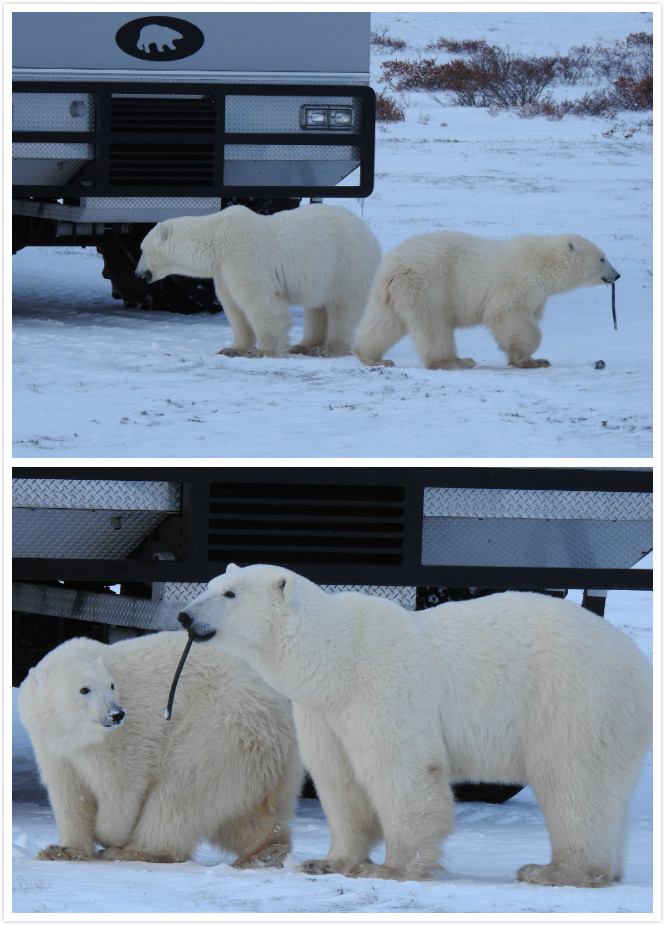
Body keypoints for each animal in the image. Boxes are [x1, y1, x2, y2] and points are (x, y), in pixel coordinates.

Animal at [17, 632, 304, 864]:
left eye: (111, 685)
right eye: (84, 689)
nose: (116, 714)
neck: (76, 735)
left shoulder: (126, 735)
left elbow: (122, 785)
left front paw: (108, 836)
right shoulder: (50, 743)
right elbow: (67, 791)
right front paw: (62, 850)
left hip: (223, 724)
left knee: (181, 789)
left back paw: (133, 851)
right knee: (248, 816)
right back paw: (265, 849)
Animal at [136, 203, 378, 358]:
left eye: (142, 249)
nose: (138, 273)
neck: (216, 238)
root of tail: (371, 235)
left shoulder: (243, 255)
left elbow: (259, 300)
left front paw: (264, 351)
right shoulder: (223, 272)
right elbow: (234, 307)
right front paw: (232, 349)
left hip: (348, 263)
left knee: (343, 308)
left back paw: (328, 348)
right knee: (316, 308)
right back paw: (304, 346)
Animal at [179, 564, 652, 888]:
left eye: (229, 593)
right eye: (208, 586)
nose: (184, 617)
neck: (337, 656)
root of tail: (638, 662)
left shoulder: (383, 687)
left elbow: (399, 771)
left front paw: (389, 868)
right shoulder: (322, 711)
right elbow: (339, 780)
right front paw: (326, 862)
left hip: (575, 699)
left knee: (572, 780)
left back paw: (554, 870)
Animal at [352, 229, 616, 370]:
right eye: (602, 258)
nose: (617, 275)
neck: (543, 263)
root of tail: (392, 266)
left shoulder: (540, 294)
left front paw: (537, 360)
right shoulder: (520, 281)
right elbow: (508, 313)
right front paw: (526, 358)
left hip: (392, 293)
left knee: (385, 322)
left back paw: (373, 357)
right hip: (429, 283)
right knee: (433, 324)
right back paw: (456, 360)